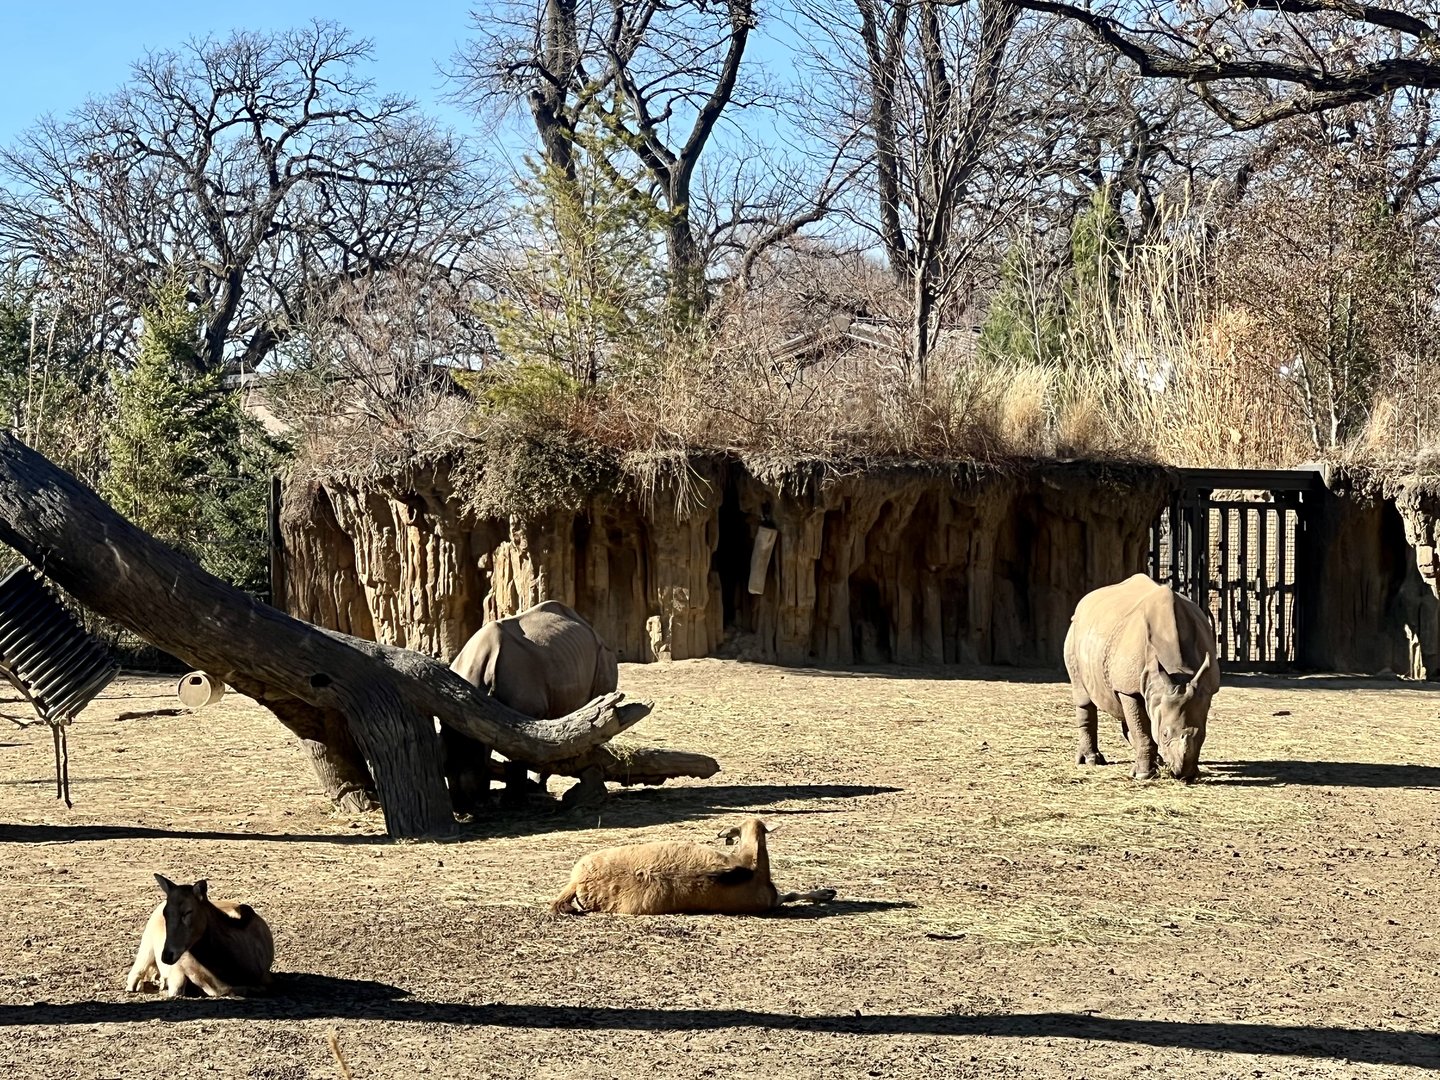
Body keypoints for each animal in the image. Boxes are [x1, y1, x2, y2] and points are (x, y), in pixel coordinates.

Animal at [1063, 574, 1219, 781]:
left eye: (1202, 735)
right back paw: (1092, 761)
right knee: (1083, 697)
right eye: (1165, 734)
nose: (1182, 774)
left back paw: (1157, 760)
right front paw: (1143, 774)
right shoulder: (1128, 689)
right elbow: (1142, 730)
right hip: (1074, 633)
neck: (1179, 671)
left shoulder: (1205, 689)